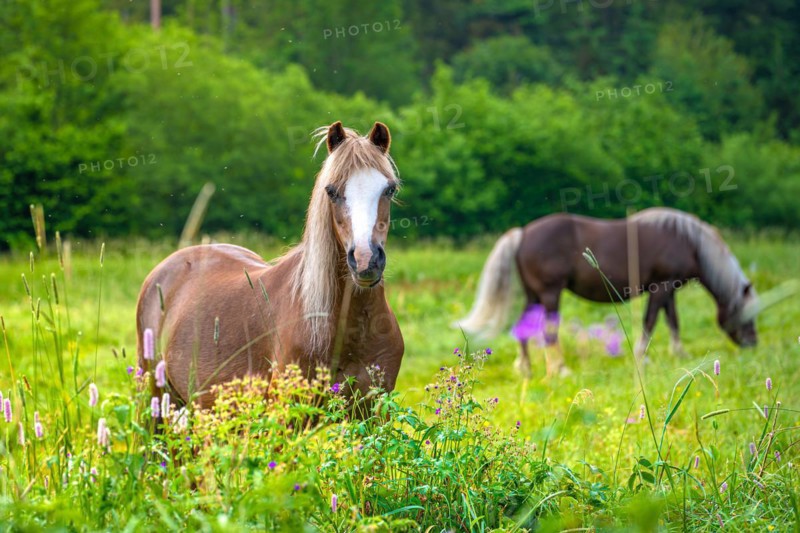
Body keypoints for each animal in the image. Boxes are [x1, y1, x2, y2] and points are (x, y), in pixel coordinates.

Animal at [457, 208, 760, 378]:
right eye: (749, 315)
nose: (752, 343)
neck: (689, 242)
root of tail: (522, 233)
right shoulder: (661, 287)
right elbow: (650, 321)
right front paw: (642, 357)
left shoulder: (668, 290)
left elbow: (673, 320)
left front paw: (680, 353)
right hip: (551, 294)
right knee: (550, 331)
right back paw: (560, 370)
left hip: (534, 296)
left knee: (525, 329)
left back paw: (527, 369)